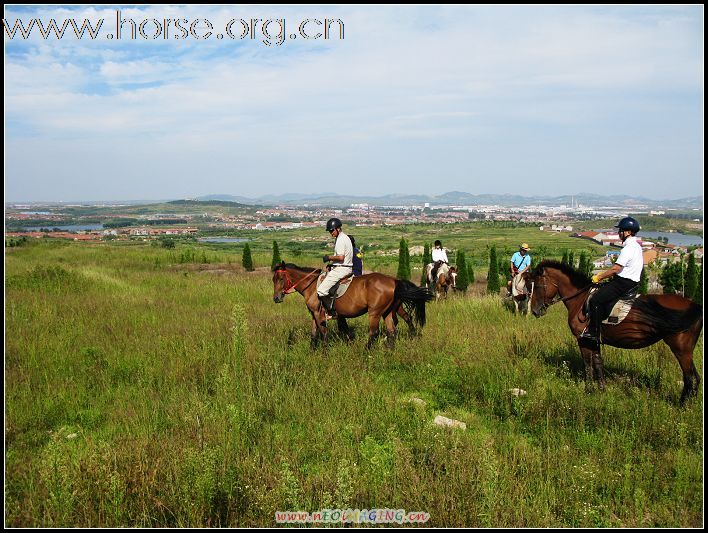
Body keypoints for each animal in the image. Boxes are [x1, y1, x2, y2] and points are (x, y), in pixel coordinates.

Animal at [274, 260, 434, 350]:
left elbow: (323, 333)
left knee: (375, 332)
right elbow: (314, 334)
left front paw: (324, 352)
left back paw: (366, 352)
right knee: (393, 330)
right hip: (387, 311)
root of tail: (394, 281)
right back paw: (390, 351)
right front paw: (312, 351)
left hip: (375, 312)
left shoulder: (319, 314)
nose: (276, 298)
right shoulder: (314, 314)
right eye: (273, 279)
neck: (312, 286)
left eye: (281, 278)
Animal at [524, 258, 704, 404]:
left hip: (681, 349)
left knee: (691, 378)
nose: (535, 311)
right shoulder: (594, 339)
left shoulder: (583, 339)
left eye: (537, 286)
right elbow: (598, 363)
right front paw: (601, 389)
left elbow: (587, 364)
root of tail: (695, 306)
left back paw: (682, 406)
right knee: (693, 377)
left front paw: (589, 390)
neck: (581, 300)